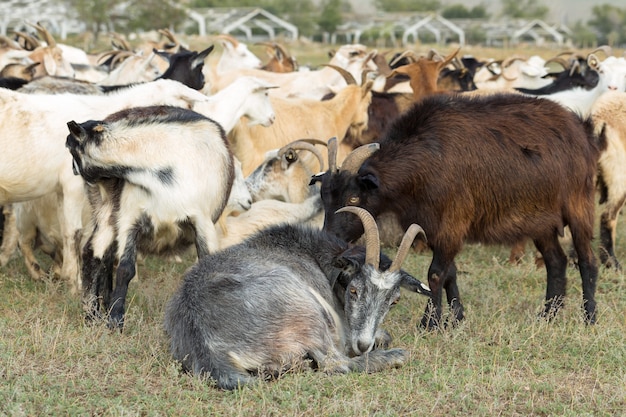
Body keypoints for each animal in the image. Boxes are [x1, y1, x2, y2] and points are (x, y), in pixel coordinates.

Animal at [66, 105, 234, 328]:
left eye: (71, 147)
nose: (73, 170)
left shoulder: (203, 221)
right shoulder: (131, 216)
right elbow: (125, 269)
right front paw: (115, 320)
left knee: (100, 254)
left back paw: (97, 312)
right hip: (106, 208)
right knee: (95, 254)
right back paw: (94, 315)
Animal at [163, 206, 432, 388]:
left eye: (394, 301)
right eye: (354, 290)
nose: (362, 345)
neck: (315, 255)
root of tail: (206, 344)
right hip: (307, 311)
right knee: (336, 364)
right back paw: (394, 356)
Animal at [316, 92, 600, 326]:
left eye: (354, 198)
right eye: (325, 197)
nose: (331, 238)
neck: (425, 160)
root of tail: (580, 128)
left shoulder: (452, 223)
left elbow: (435, 274)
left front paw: (429, 323)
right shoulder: (432, 227)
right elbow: (449, 273)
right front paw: (456, 318)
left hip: (579, 206)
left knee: (587, 260)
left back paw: (589, 317)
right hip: (542, 222)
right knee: (556, 262)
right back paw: (548, 315)